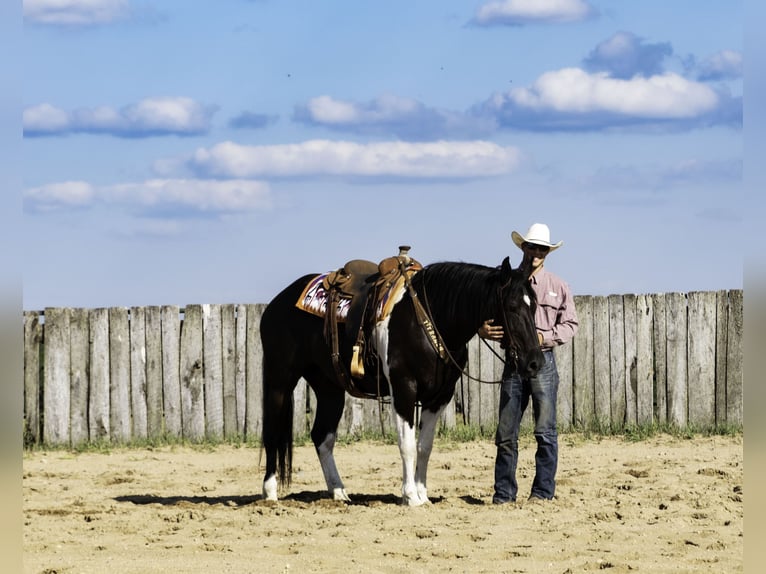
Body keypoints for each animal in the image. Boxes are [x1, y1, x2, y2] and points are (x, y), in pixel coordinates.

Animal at [260, 254, 544, 506]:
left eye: (534, 306)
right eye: (512, 307)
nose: (535, 362)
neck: (430, 319)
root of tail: (277, 303)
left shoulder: (439, 397)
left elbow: (424, 446)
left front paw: (423, 495)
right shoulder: (404, 389)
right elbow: (406, 445)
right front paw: (410, 497)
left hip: (329, 388)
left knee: (322, 436)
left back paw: (339, 492)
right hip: (279, 380)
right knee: (273, 432)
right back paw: (270, 493)